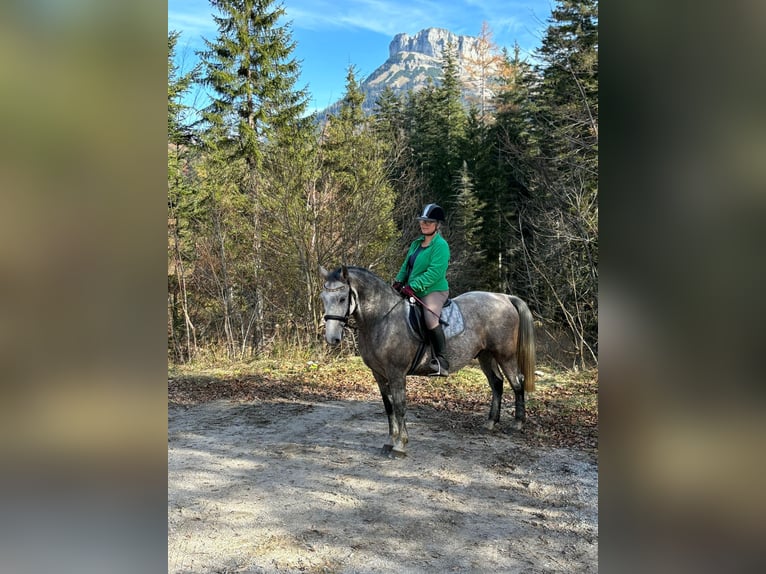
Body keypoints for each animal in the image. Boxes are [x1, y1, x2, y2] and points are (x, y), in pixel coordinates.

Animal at [318, 266, 536, 460]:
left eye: (342, 298)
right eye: (323, 298)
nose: (332, 338)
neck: (382, 318)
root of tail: (504, 297)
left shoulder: (396, 373)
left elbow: (400, 407)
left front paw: (400, 445)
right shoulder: (379, 374)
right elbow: (389, 407)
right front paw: (389, 441)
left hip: (505, 355)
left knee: (517, 383)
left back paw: (518, 423)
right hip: (485, 355)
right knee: (497, 383)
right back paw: (491, 422)